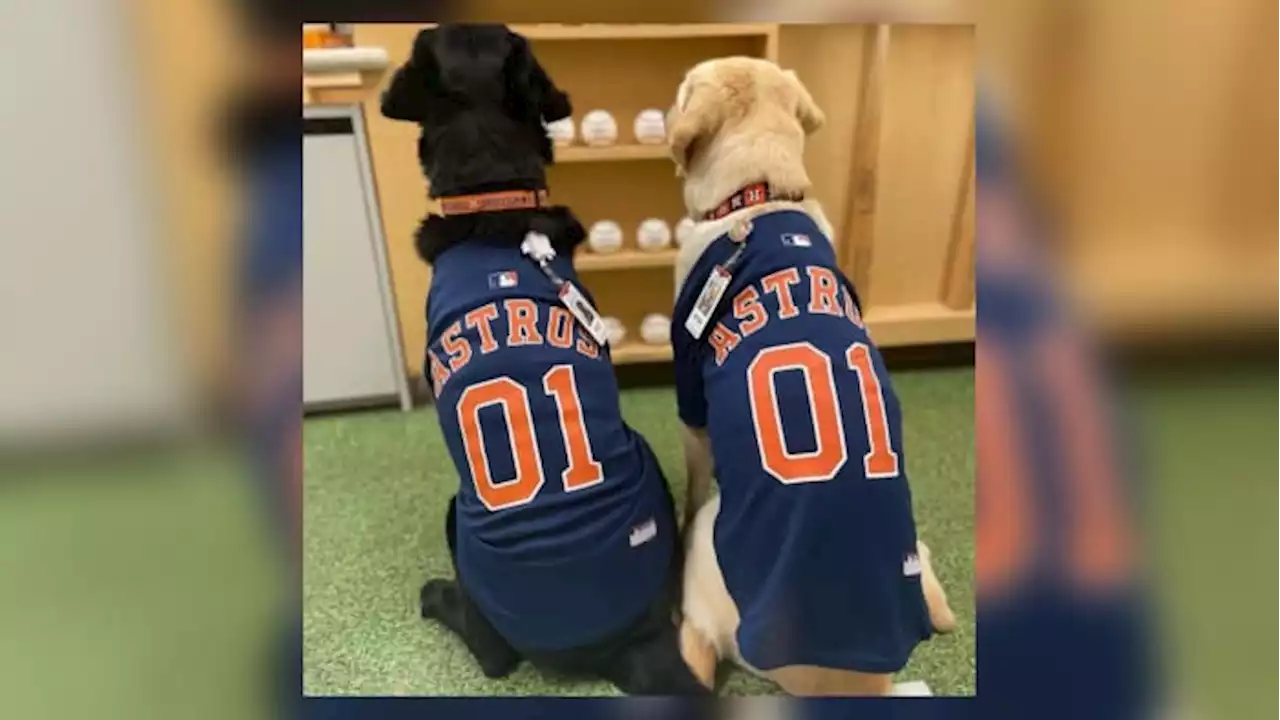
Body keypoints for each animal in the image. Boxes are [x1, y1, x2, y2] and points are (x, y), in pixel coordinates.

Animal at [670, 56, 962, 696]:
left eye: (679, 92)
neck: (755, 195)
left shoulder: (691, 404)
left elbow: (692, 480)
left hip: (709, 537)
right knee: (935, 593)